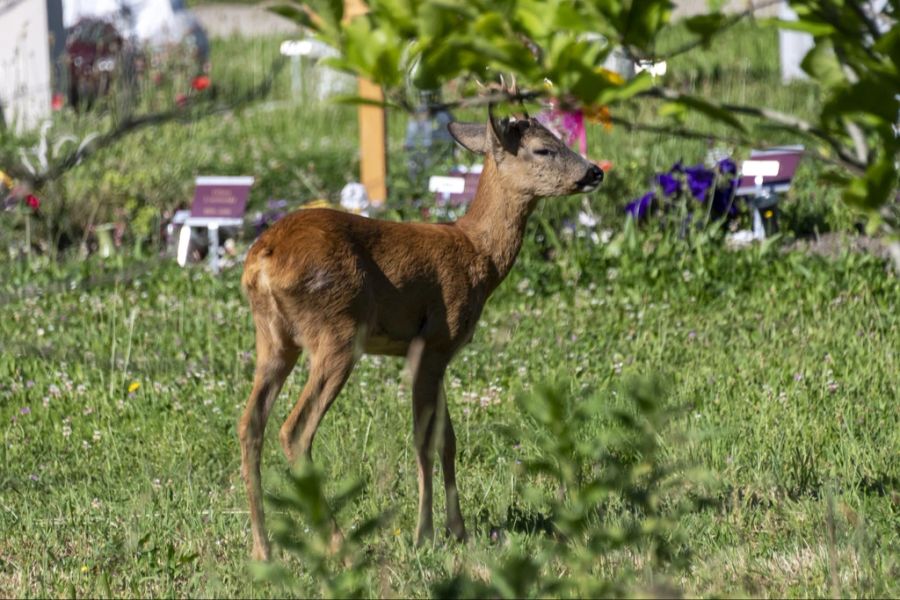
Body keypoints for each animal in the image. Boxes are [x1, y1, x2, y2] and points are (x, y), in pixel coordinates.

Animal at [239, 105, 604, 560]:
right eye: (544, 148)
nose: (594, 171)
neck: (478, 253)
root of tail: (262, 261)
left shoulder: (440, 353)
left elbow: (448, 439)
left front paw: (458, 529)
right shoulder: (432, 341)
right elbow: (423, 438)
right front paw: (424, 534)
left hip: (274, 339)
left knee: (250, 424)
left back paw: (263, 550)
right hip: (337, 332)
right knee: (294, 430)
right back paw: (340, 544)